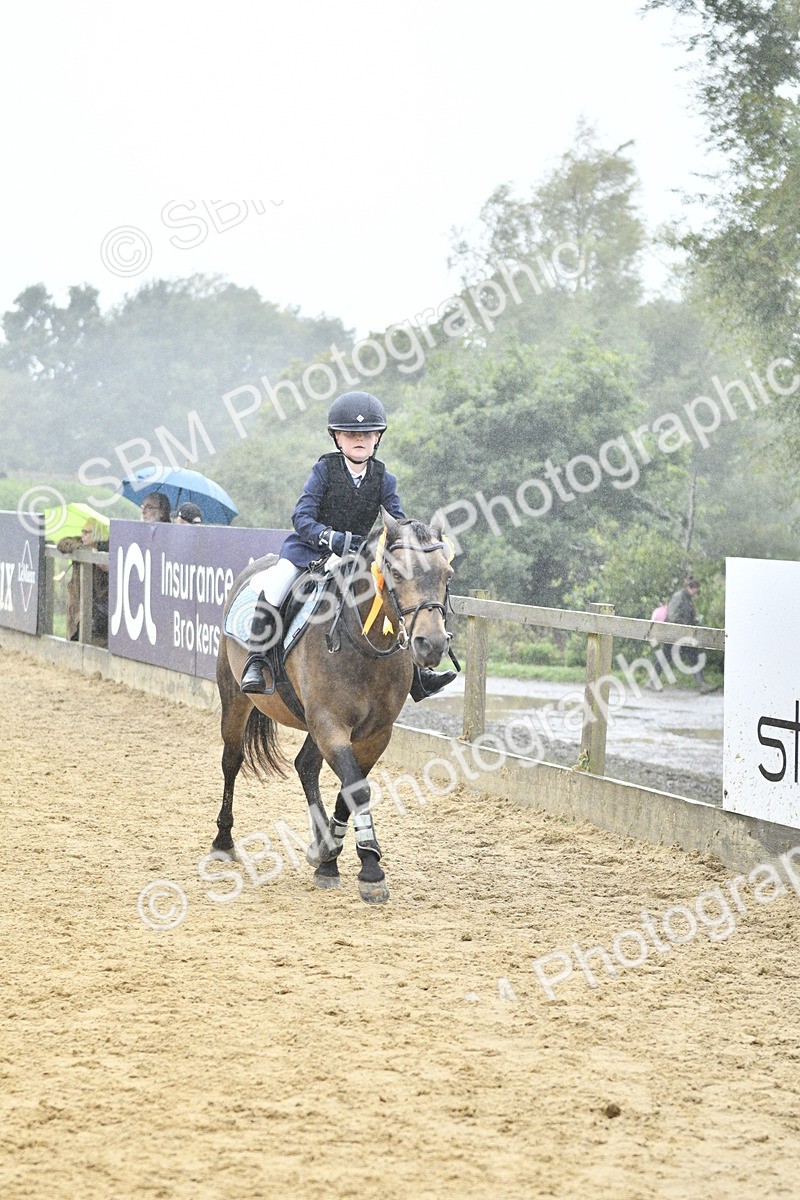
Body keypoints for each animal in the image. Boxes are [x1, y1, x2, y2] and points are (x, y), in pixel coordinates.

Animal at [212, 509, 455, 904]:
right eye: (396, 572)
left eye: (447, 574)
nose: (431, 644)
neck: (363, 644)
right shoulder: (330, 724)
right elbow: (356, 788)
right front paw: (368, 869)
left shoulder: (374, 734)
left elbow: (350, 788)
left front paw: (334, 855)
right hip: (235, 697)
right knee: (232, 760)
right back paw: (223, 841)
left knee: (305, 766)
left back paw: (321, 843)